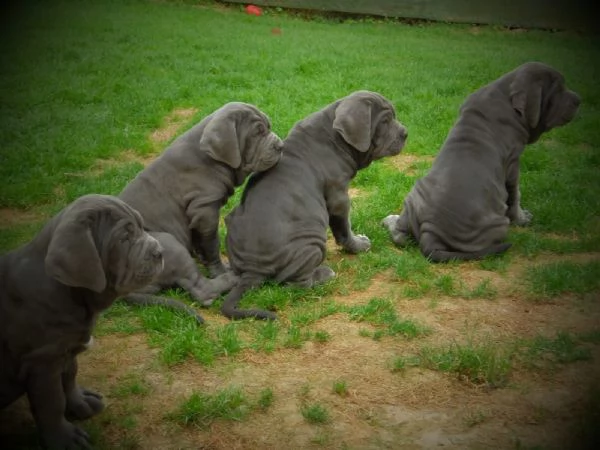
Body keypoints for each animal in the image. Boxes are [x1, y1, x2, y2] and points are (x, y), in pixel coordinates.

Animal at [0, 194, 164, 450]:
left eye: (141, 225)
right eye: (123, 238)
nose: (160, 251)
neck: (72, 295)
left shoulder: (66, 350)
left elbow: (70, 376)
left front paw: (80, 403)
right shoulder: (41, 361)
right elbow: (51, 402)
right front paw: (64, 439)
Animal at [120, 102, 284, 320]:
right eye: (257, 133)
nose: (280, 145)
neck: (210, 158)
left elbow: (201, 244)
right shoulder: (204, 209)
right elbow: (212, 244)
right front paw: (220, 270)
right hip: (166, 243)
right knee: (202, 292)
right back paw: (231, 277)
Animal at [223, 89, 410, 318]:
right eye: (384, 121)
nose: (405, 133)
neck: (333, 136)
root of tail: (253, 270)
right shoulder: (339, 196)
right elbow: (344, 228)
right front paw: (358, 244)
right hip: (311, 242)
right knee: (292, 283)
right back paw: (324, 274)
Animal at [382, 61, 580, 262]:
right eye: (559, 89)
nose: (578, 99)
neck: (505, 95)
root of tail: (430, 232)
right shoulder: (513, 161)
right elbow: (515, 194)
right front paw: (522, 219)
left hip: (413, 200)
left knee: (400, 235)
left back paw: (390, 219)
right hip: (496, 224)